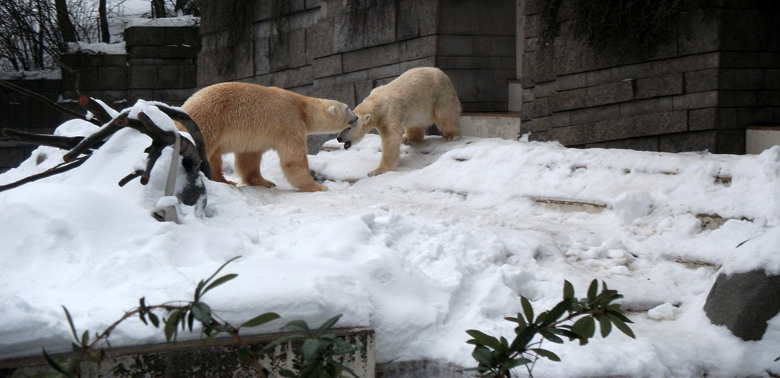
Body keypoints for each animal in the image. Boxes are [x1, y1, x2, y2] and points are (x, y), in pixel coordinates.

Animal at [178, 81, 358, 190]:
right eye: (347, 107)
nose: (356, 117)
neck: (302, 106)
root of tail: (186, 105)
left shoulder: (253, 135)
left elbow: (249, 158)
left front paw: (266, 182)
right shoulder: (289, 120)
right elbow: (293, 158)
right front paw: (317, 186)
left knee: (215, 158)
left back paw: (224, 180)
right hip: (209, 121)